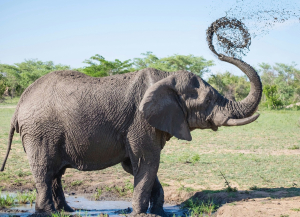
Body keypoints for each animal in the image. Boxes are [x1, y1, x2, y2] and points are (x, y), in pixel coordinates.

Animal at [1, 24, 262, 217]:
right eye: (207, 100)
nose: (221, 43)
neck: (166, 77)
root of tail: (20, 103)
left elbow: (136, 165)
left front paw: (158, 212)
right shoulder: (140, 121)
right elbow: (147, 162)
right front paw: (141, 214)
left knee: (55, 173)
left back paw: (66, 211)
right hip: (40, 132)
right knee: (45, 170)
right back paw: (47, 212)